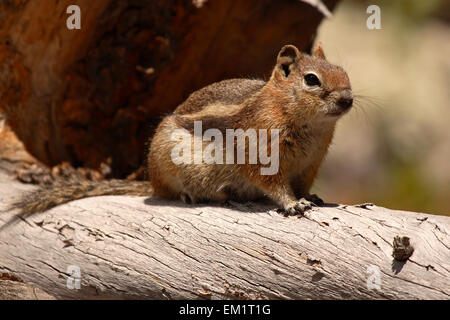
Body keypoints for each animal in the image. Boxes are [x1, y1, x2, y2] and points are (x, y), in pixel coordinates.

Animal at [12, 43, 354, 218]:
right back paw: (191, 194)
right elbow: (273, 184)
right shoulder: (262, 153)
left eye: (344, 72)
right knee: (168, 192)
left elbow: (302, 183)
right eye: (311, 80)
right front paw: (292, 203)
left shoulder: (311, 163)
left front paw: (309, 196)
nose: (348, 99)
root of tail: (151, 181)